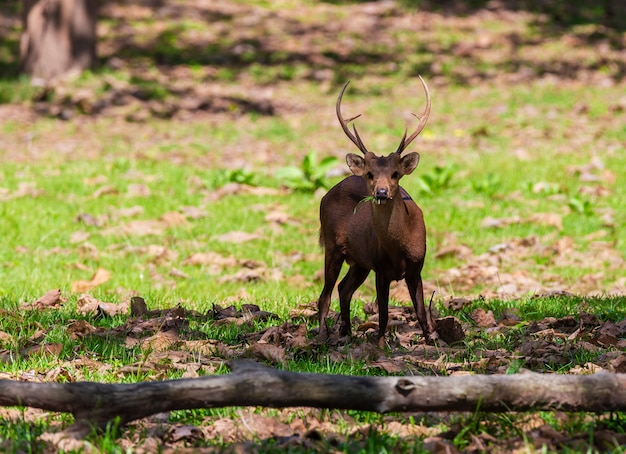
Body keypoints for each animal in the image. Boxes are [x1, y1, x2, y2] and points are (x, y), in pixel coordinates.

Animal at [316, 75, 434, 344]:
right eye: (370, 174)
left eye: (396, 173)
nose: (381, 192)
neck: (399, 248)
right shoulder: (380, 268)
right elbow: (382, 315)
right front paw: (381, 343)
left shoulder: (416, 267)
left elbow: (421, 312)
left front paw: (432, 341)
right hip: (333, 245)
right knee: (325, 295)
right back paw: (322, 337)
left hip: (359, 261)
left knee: (343, 288)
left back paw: (347, 333)